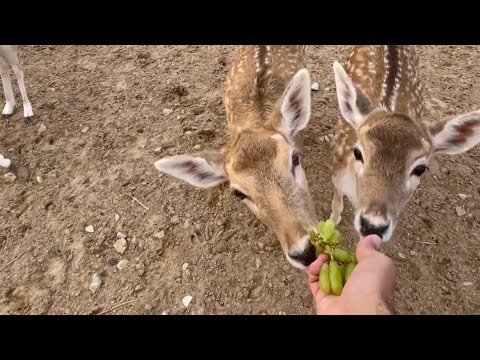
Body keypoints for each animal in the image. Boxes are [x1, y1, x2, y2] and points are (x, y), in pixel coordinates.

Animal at [328, 45, 480, 242]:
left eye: (420, 168)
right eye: (358, 153)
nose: (373, 225)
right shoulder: (337, 170)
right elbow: (336, 205)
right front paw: (331, 224)